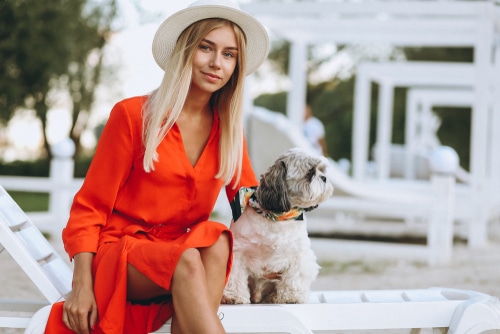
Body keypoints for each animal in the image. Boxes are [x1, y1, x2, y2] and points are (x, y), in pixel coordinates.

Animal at [222, 147, 332, 304]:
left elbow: (294, 277)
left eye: (321, 170)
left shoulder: (299, 255)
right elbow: (235, 276)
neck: (277, 217)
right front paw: (234, 296)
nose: (324, 177)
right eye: (310, 172)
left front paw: (292, 297)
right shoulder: (238, 252)